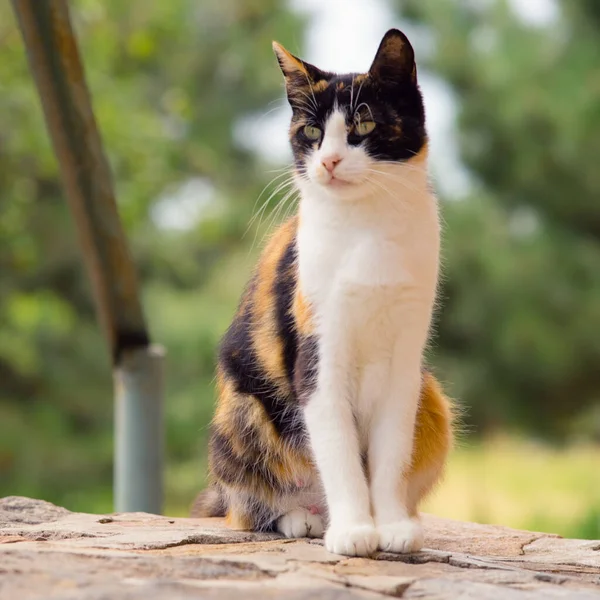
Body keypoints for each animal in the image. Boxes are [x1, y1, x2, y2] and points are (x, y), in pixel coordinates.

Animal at [195, 29, 452, 556]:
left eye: (365, 123)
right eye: (312, 133)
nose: (330, 161)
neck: (366, 228)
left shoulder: (405, 360)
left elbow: (391, 452)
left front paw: (390, 525)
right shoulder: (317, 354)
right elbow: (336, 449)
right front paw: (354, 530)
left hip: (430, 393)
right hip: (242, 412)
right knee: (243, 508)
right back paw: (302, 519)